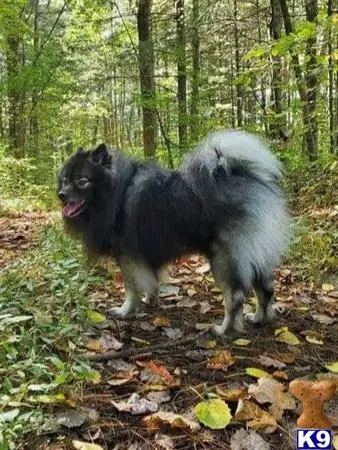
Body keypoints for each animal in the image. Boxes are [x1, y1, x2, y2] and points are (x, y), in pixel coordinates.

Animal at [56, 129, 290, 334]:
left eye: (82, 181)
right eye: (65, 180)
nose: (61, 194)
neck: (114, 192)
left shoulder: (128, 256)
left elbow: (131, 288)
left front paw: (125, 310)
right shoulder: (147, 253)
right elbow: (152, 282)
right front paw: (150, 301)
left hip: (226, 258)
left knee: (235, 298)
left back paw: (223, 330)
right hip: (254, 256)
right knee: (266, 289)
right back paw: (259, 318)